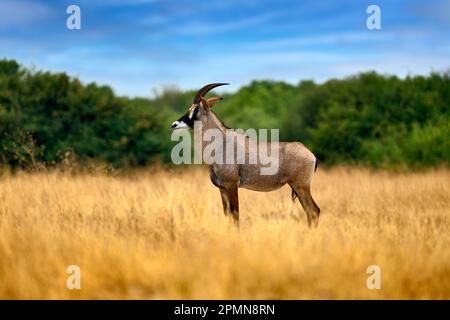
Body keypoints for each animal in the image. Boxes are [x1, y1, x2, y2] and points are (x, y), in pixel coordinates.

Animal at [171, 83, 322, 228]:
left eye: (196, 110)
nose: (174, 124)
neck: (220, 144)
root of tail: (311, 155)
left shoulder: (232, 185)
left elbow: (235, 214)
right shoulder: (222, 189)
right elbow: (227, 214)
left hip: (301, 186)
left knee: (314, 211)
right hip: (298, 187)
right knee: (310, 212)